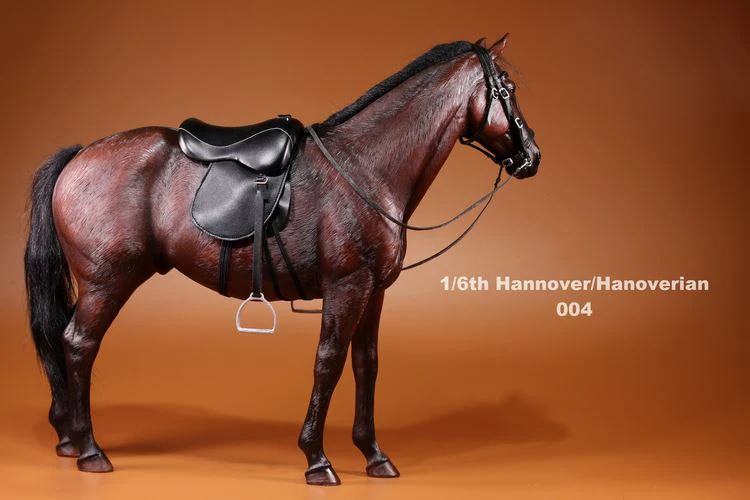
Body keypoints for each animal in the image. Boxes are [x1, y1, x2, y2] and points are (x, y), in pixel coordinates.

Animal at [24, 36, 540, 485]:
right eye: (507, 90)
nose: (532, 155)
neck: (365, 169)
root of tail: (81, 154)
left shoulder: (374, 291)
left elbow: (366, 364)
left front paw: (374, 455)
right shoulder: (347, 286)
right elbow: (328, 362)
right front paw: (316, 458)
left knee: (65, 342)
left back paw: (69, 438)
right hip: (108, 283)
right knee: (78, 343)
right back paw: (90, 450)